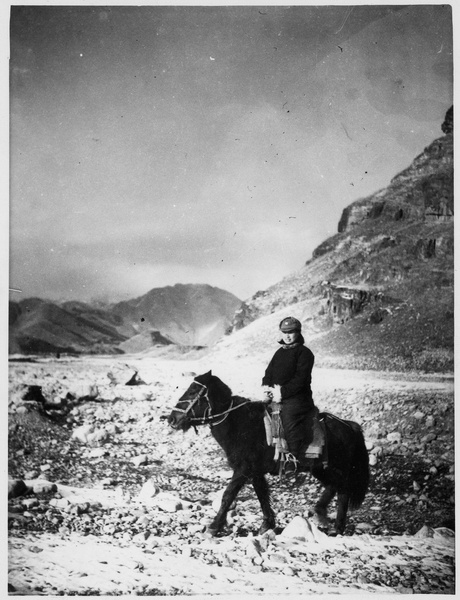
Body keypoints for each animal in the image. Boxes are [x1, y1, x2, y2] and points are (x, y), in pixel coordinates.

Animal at [169, 370, 370, 536]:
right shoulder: (255, 471)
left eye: (193, 392)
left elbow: (228, 495)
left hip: (336, 468)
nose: (172, 419)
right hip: (321, 469)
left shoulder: (243, 469)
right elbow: (262, 494)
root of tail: (349, 426)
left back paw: (337, 527)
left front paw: (213, 527)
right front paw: (267, 524)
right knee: (333, 487)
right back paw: (319, 513)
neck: (239, 423)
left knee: (343, 491)